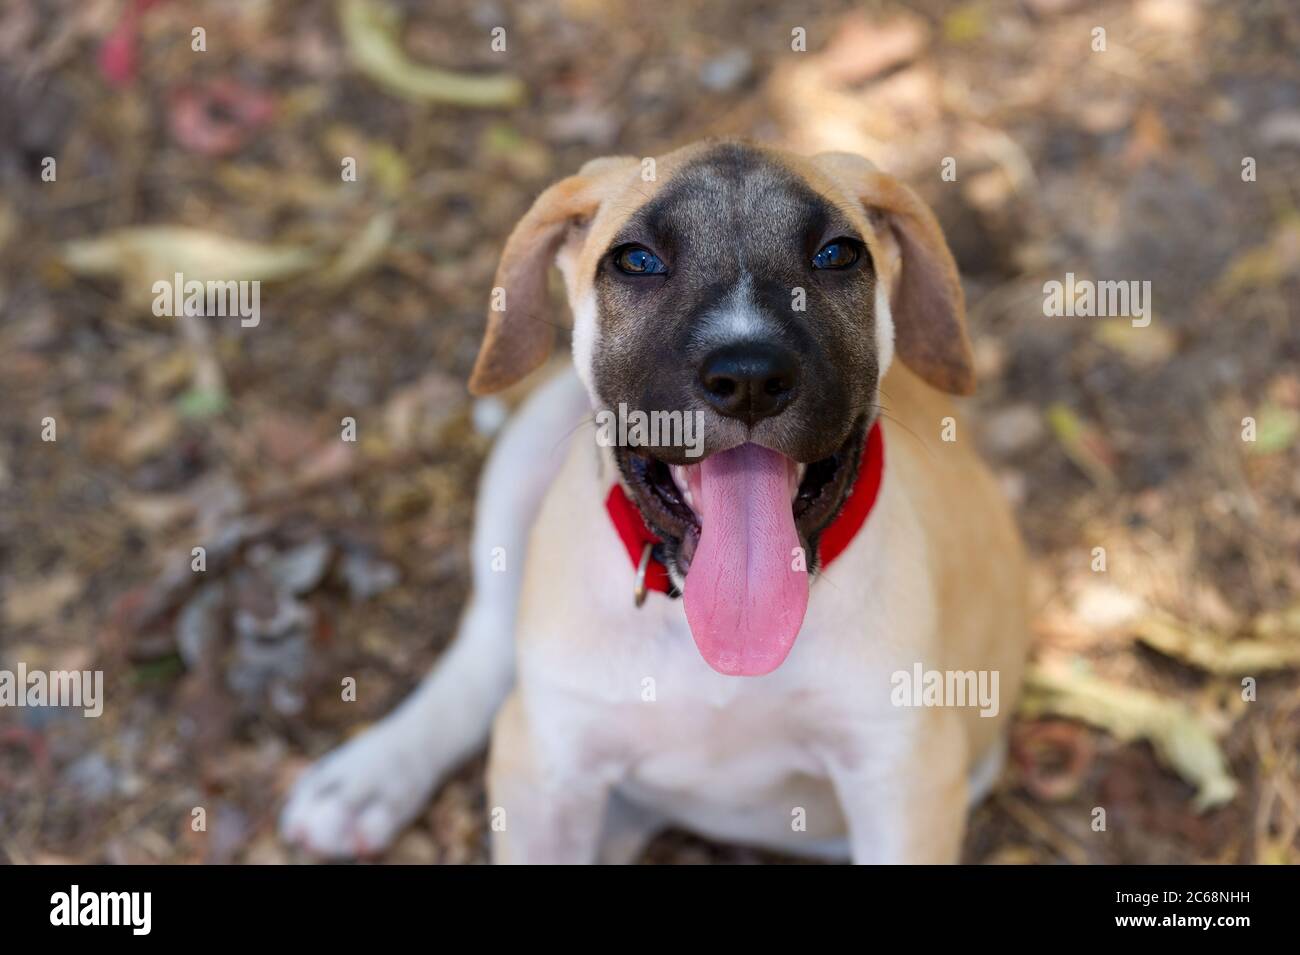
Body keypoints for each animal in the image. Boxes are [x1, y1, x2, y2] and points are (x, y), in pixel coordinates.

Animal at [279, 141, 1029, 867]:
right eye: (637, 260)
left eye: (838, 255)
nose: (749, 378)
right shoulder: (547, 773)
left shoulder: (904, 778)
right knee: (488, 640)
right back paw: (370, 776)